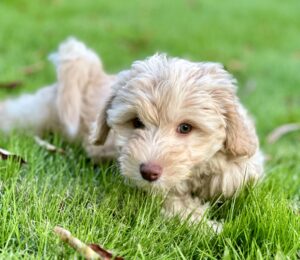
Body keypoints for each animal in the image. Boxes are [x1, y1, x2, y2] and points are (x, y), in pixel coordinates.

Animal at [0, 38, 262, 230]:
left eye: (186, 127)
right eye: (136, 122)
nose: (148, 172)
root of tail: (92, 74)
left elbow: (242, 170)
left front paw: (227, 176)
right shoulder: (157, 195)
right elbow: (179, 208)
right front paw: (211, 227)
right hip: (40, 112)